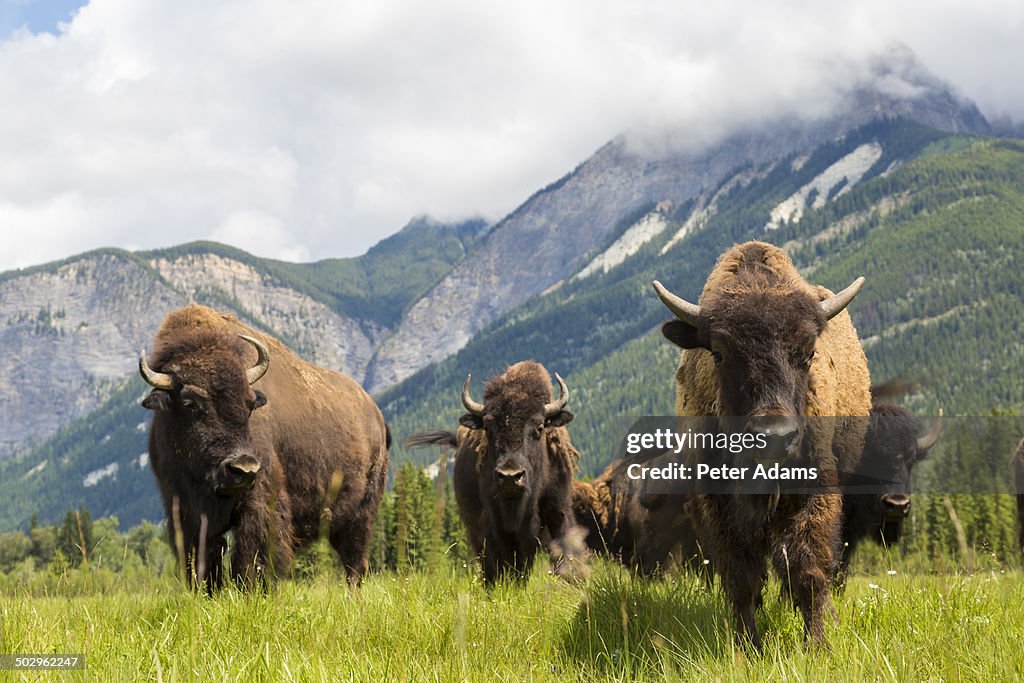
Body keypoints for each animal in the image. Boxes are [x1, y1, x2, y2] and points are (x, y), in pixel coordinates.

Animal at [139, 304, 389, 590]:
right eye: (190, 403)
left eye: (250, 404)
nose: (243, 468)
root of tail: (375, 414)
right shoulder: (184, 509)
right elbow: (204, 559)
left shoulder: (259, 501)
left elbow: (252, 556)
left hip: (362, 512)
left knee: (354, 561)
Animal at [406, 361, 588, 584]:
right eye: (488, 428)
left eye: (539, 427)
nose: (510, 476)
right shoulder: (495, 524)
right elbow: (505, 562)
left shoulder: (558, 510)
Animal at [653, 241, 871, 649]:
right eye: (719, 353)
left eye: (808, 352)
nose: (774, 435)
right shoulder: (720, 503)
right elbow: (742, 576)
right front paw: (747, 646)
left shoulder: (816, 491)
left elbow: (808, 568)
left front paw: (816, 646)